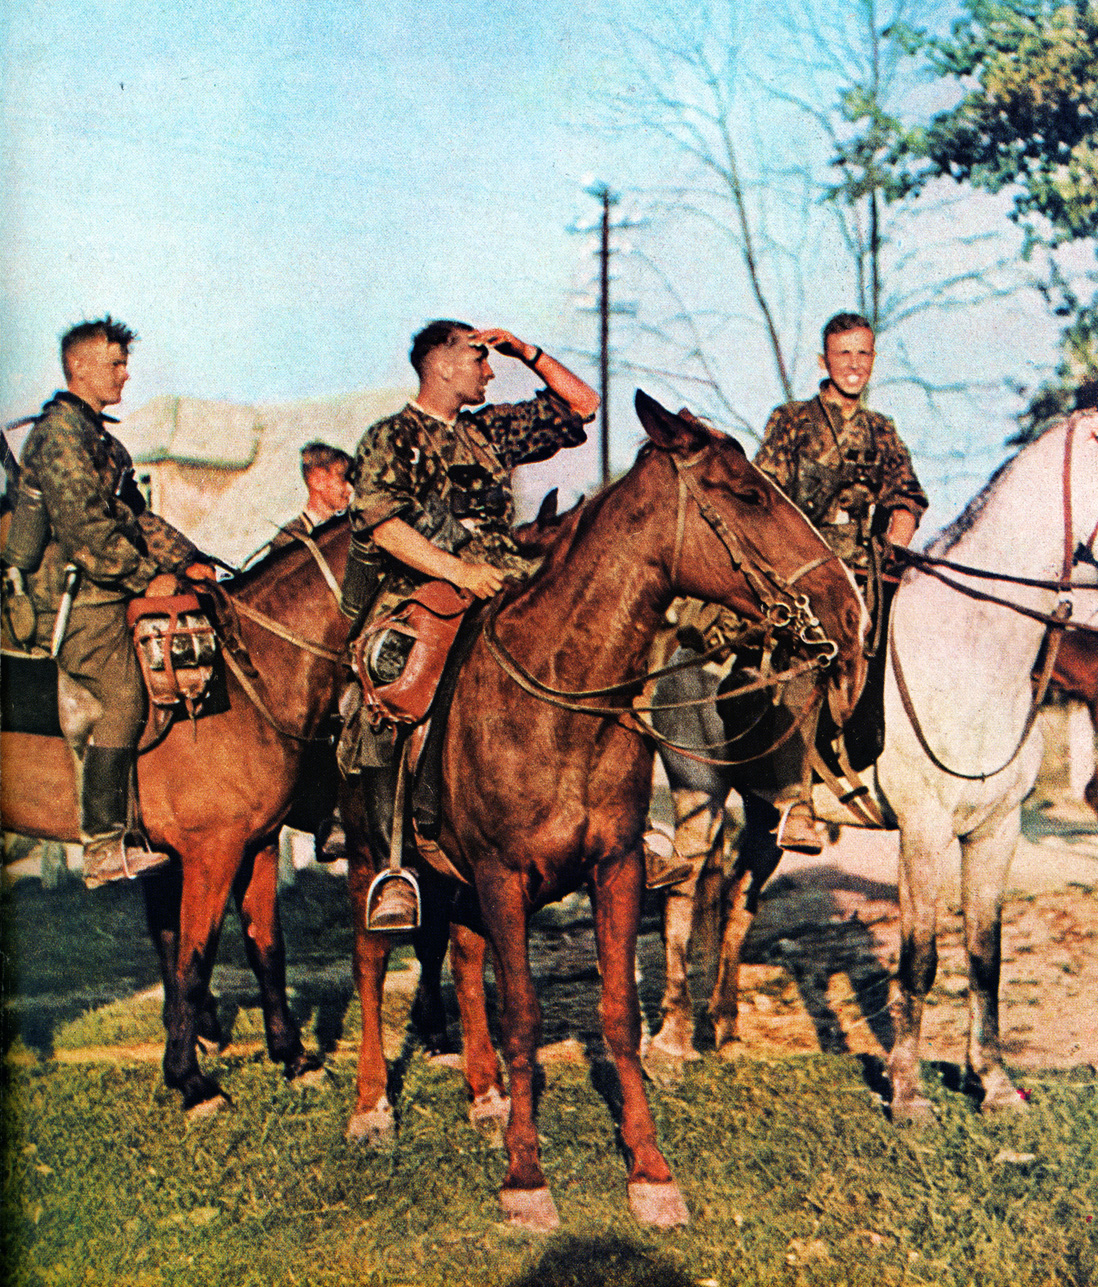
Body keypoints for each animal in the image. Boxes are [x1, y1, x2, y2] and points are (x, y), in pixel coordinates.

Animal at [0, 517, 350, 1111]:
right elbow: (191, 961)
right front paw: (191, 1081)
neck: (247, 678)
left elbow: (265, 950)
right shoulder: (210, 856)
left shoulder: (254, 846)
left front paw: (293, 1057)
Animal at [337, 388, 870, 1225]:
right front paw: (526, 1177)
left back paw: (485, 1095)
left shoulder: (614, 867)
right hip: (370, 856)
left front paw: (649, 1170)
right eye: (748, 494)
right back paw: (371, 1110)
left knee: (463, 955)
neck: (562, 703)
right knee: (369, 959)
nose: (847, 611)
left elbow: (619, 1010)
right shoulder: (502, 877)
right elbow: (525, 1014)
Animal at [643, 411, 1096, 1117]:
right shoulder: (924, 832)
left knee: (739, 900)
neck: (974, 648)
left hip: (764, 810)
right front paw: (908, 1093)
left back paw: (726, 1033)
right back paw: (668, 1046)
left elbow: (985, 959)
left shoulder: (997, 830)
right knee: (682, 900)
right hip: (698, 790)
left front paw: (995, 1087)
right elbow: (920, 961)